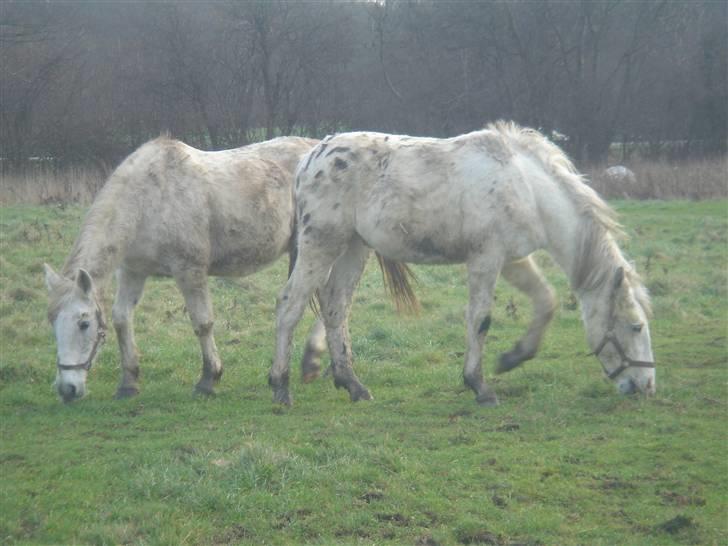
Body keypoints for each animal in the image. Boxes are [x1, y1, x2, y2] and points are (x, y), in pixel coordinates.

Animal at [43, 136, 330, 400]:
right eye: (52, 322)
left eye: (83, 324)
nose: (67, 389)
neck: (148, 201)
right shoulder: (132, 272)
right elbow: (122, 320)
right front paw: (128, 382)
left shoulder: (189, 270)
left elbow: (202, 323)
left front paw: (208, 379)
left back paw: (313, 361)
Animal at [270, 122, 656, 404]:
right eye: (636, 326)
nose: (647, 386)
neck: (528, 188)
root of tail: (310, 158)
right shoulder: (486, 258)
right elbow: (480, 319)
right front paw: (479, 386)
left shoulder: (513, 259)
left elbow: (546, 302)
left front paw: (513, 357)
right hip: (321, 244)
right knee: (290, 304)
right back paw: (280, 385)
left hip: (353, 248)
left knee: (336, 309)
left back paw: (352, 385)